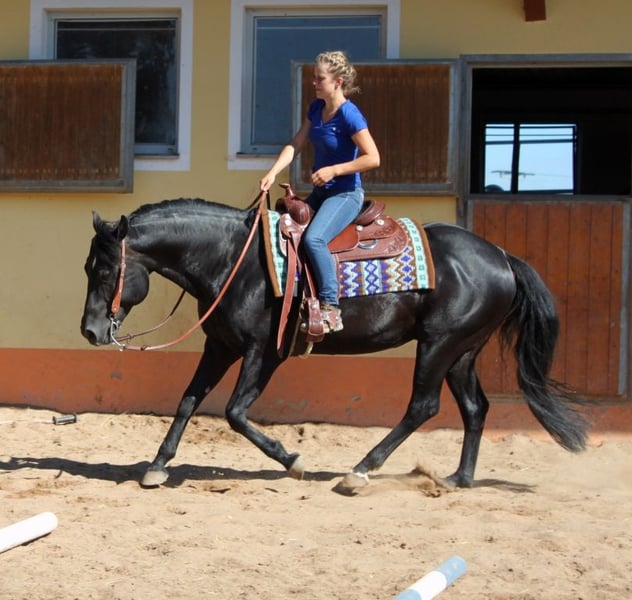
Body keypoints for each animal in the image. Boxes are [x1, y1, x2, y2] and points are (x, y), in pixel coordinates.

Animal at [80, 194, 588, 490]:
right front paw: (158, 464)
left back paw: (359, 471)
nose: (90, 331)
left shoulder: (265, 352)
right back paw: (458, 478)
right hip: (463, 351)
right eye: (89, 268)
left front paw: (292, 459)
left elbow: (235, 413)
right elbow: (187, 401)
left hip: (439, 344)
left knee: (422, 407)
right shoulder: (220, 347)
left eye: (106, 271)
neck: (234, 261)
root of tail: (501, 257)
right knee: (474, 408)